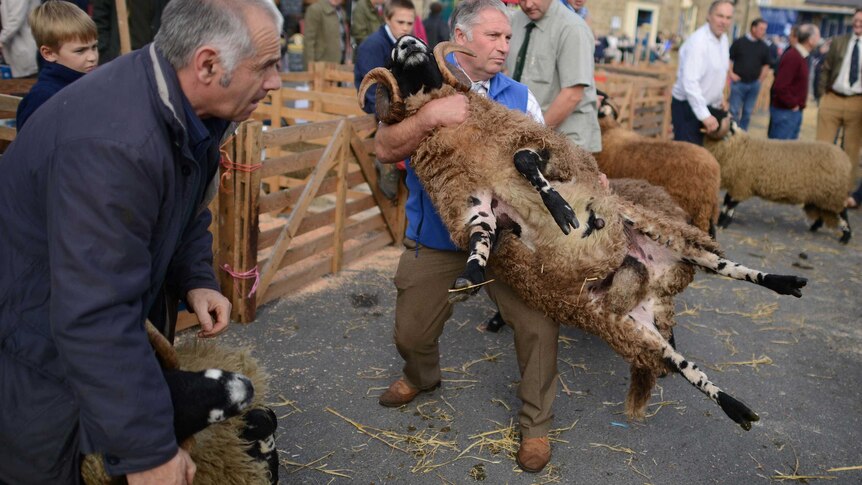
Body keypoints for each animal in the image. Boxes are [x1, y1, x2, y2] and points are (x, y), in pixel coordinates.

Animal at [704, 124, 852, 242]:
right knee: (825, 211)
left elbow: (730, 205)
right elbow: (728, 202)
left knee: (842, 213)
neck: (740, 147)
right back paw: (814, 227)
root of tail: (845, 159)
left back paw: (845, 237)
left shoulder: (742, 184)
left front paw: (723, 223)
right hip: (823, 194)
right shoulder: (737, 184)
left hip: (833, 193)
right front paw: (720, 221)